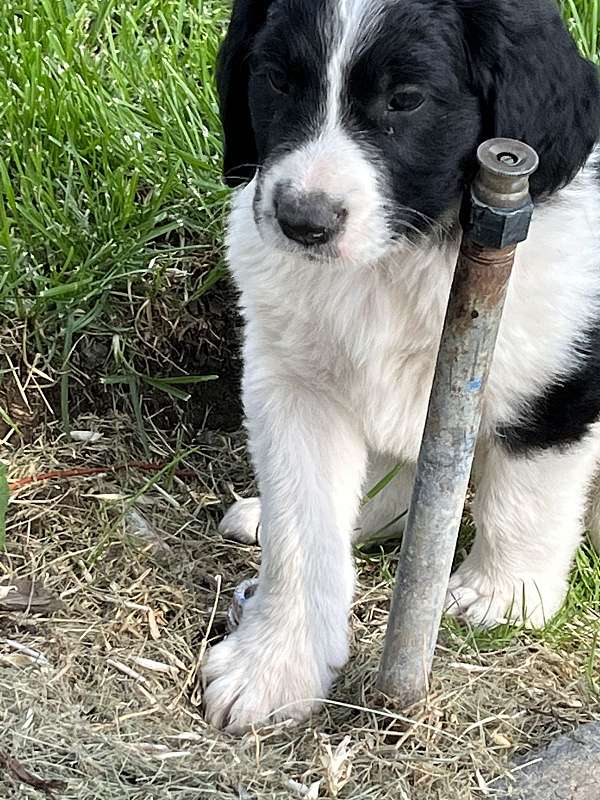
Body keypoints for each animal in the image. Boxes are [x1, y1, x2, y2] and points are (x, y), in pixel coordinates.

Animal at [204, 0, 600, 732]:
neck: (400, 260)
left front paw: (505, 595)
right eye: (275, 80)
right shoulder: (294, 385)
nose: (303, 221)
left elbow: (528, 493)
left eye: (407, 100)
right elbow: (301, 533)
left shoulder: (557, 381)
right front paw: (275, 665)